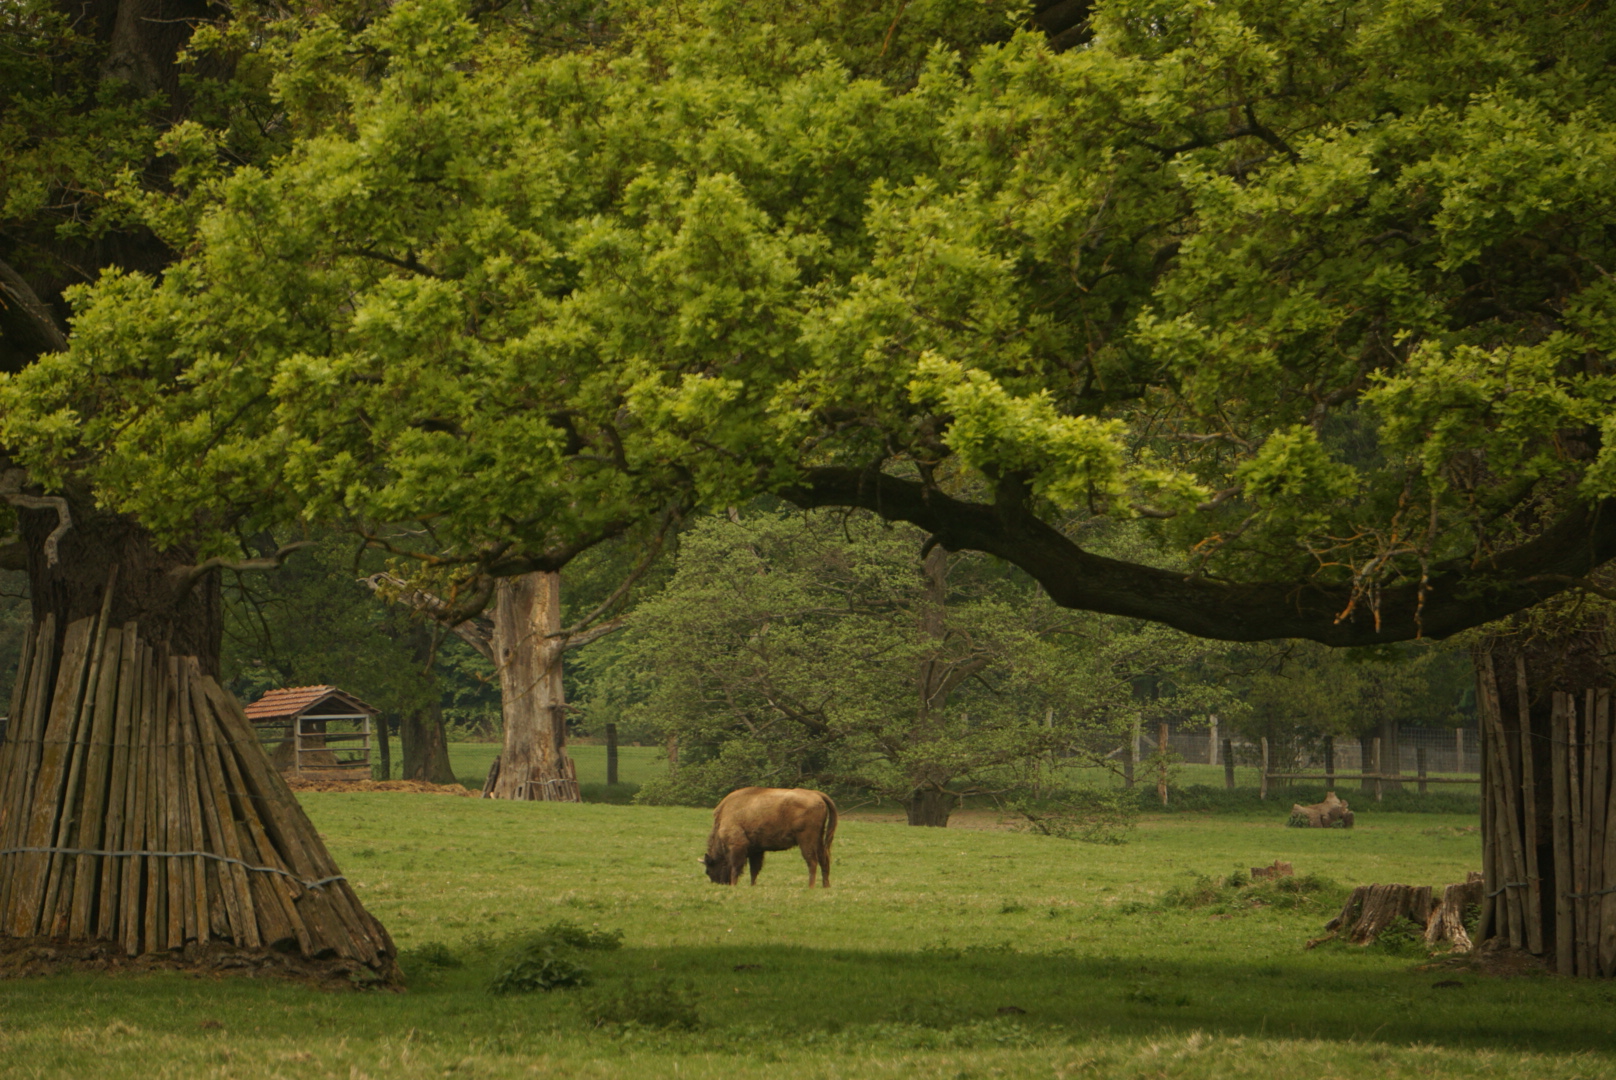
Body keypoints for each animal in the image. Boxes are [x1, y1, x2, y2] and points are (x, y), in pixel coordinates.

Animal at [701, 785, 840, 885]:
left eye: (708, 870)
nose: (719, 883)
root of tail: (817, 794)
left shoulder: (737, 846)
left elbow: (736, 867)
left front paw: (734, 885)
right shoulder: (756, 850)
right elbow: (754, 870)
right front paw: (752, 885)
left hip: (806, 840)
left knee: (812, 861)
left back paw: (810, 886)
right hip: (819, 839)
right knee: (824, 860)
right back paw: (825, 886)